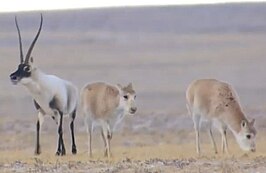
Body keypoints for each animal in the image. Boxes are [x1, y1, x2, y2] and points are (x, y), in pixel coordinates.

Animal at [9, 14, 78, 155]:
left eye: (27, 68)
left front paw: (60, 152)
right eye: (18, 66)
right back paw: (62, 150)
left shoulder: (60, 111)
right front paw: (37, 151)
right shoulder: (42, 110)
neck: (42, 89)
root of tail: (71, 86)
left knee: (70, 125)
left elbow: (61, 129)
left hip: (71, 112)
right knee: (59, 127)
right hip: (53, 115)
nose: (13, 77)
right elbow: (38, 127)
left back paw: (73, 150)